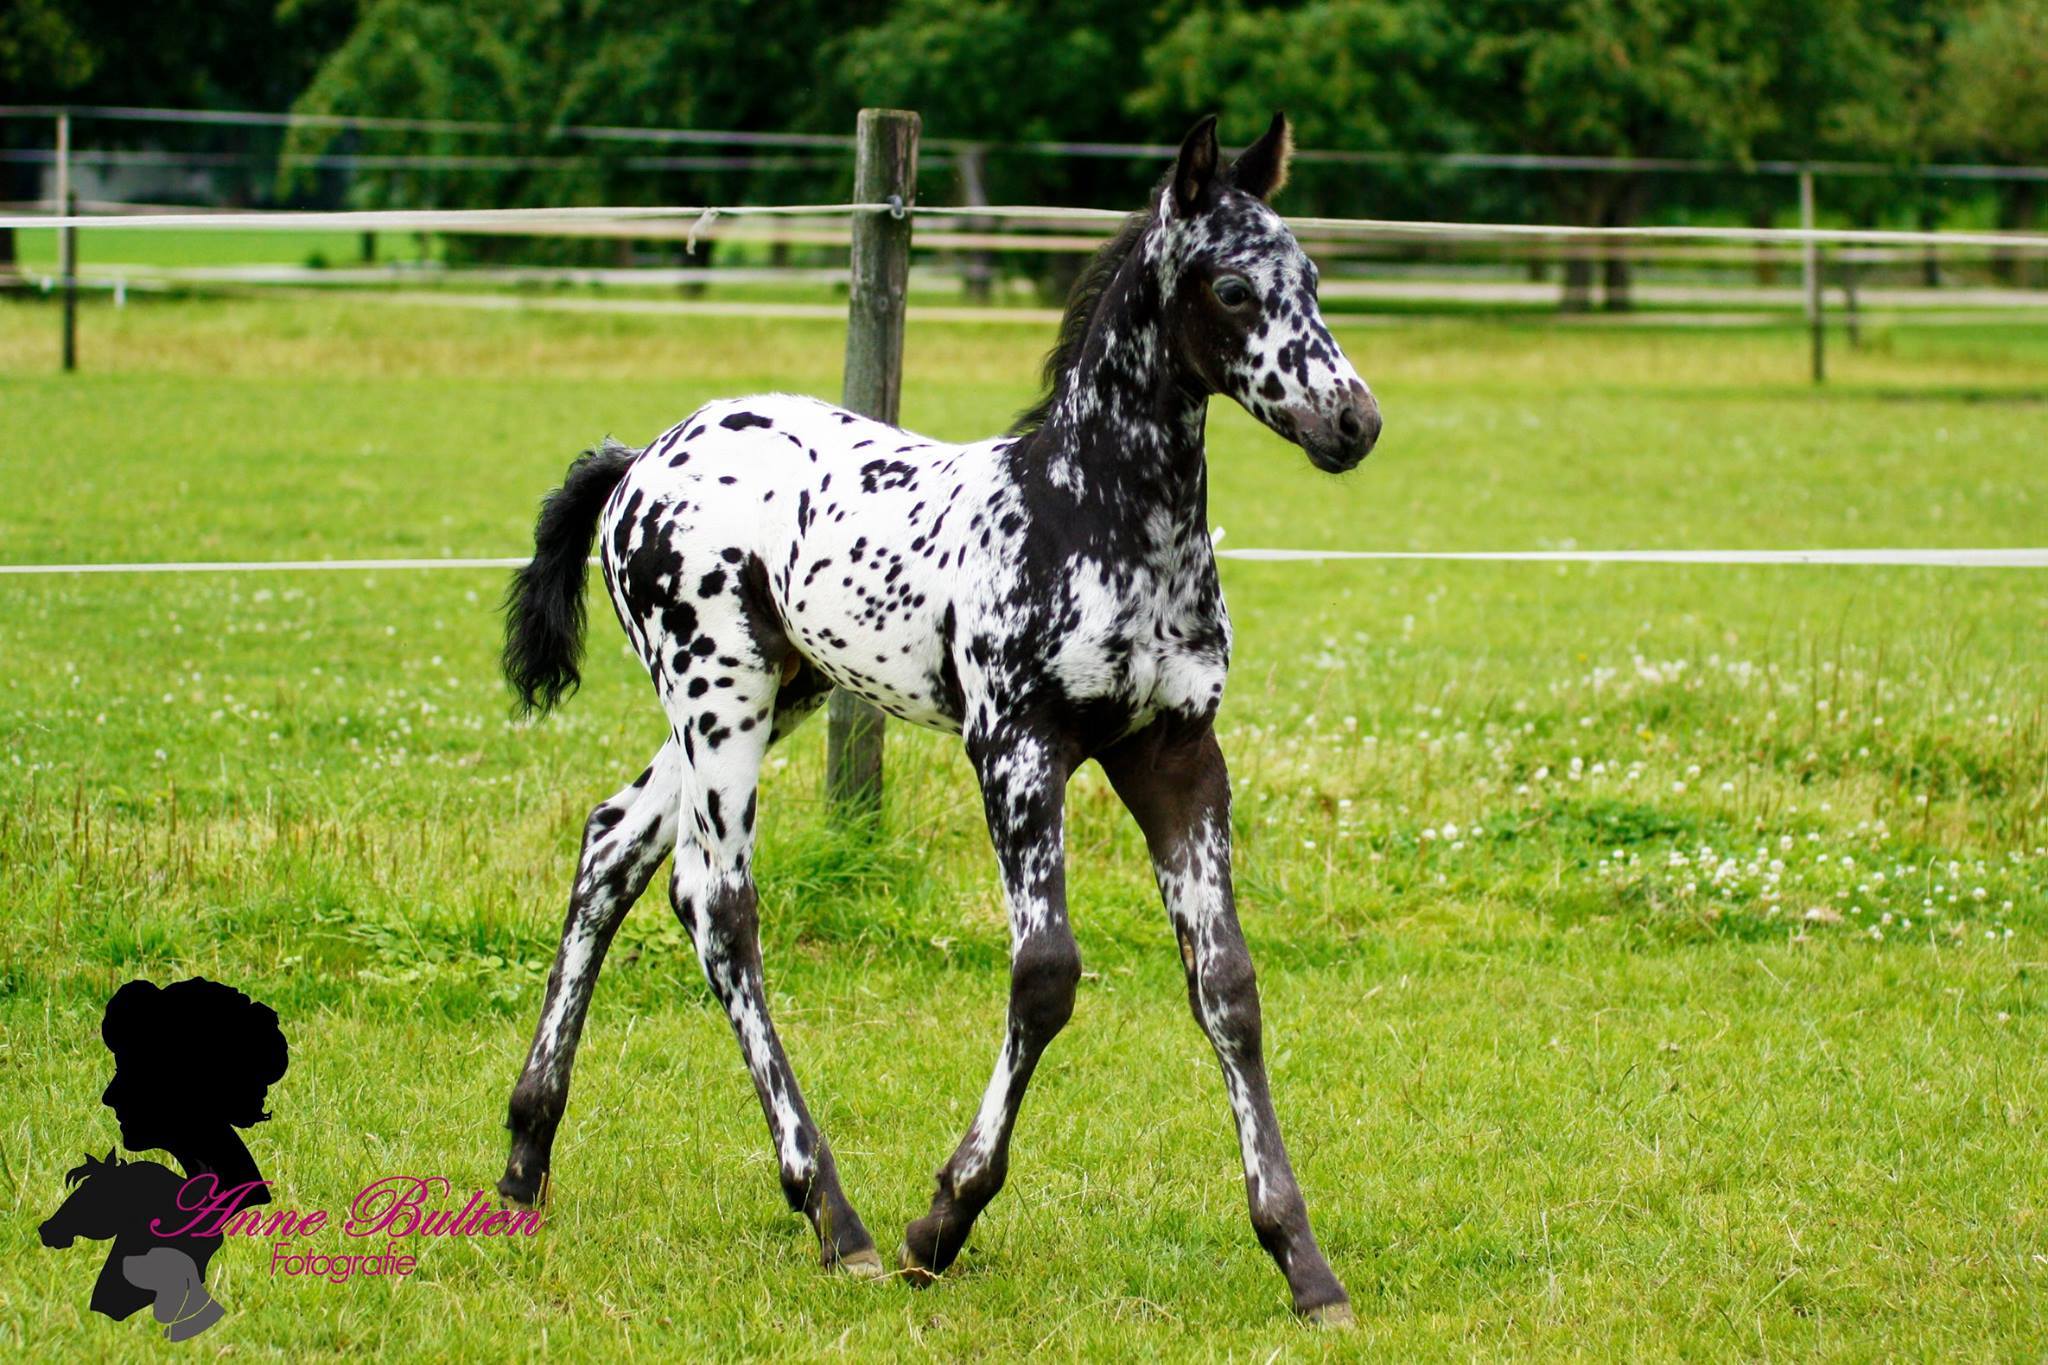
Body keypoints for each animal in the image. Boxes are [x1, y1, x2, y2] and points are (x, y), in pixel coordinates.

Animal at [501, 117, 1384, 1326]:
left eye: (1315, 280)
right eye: (1236, 288)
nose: (1353, 421)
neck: (1093, 516)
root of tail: (644, 458)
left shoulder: (1176, 755)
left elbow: (1228, 988)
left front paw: (1302, 1261)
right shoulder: (1014, 748)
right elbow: (1046, 974)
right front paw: (945, 1218)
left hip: (779, 692)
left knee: (612, 847)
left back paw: (524, 1157)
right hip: (718, 691)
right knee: (718, 905)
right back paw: (835, 1217)